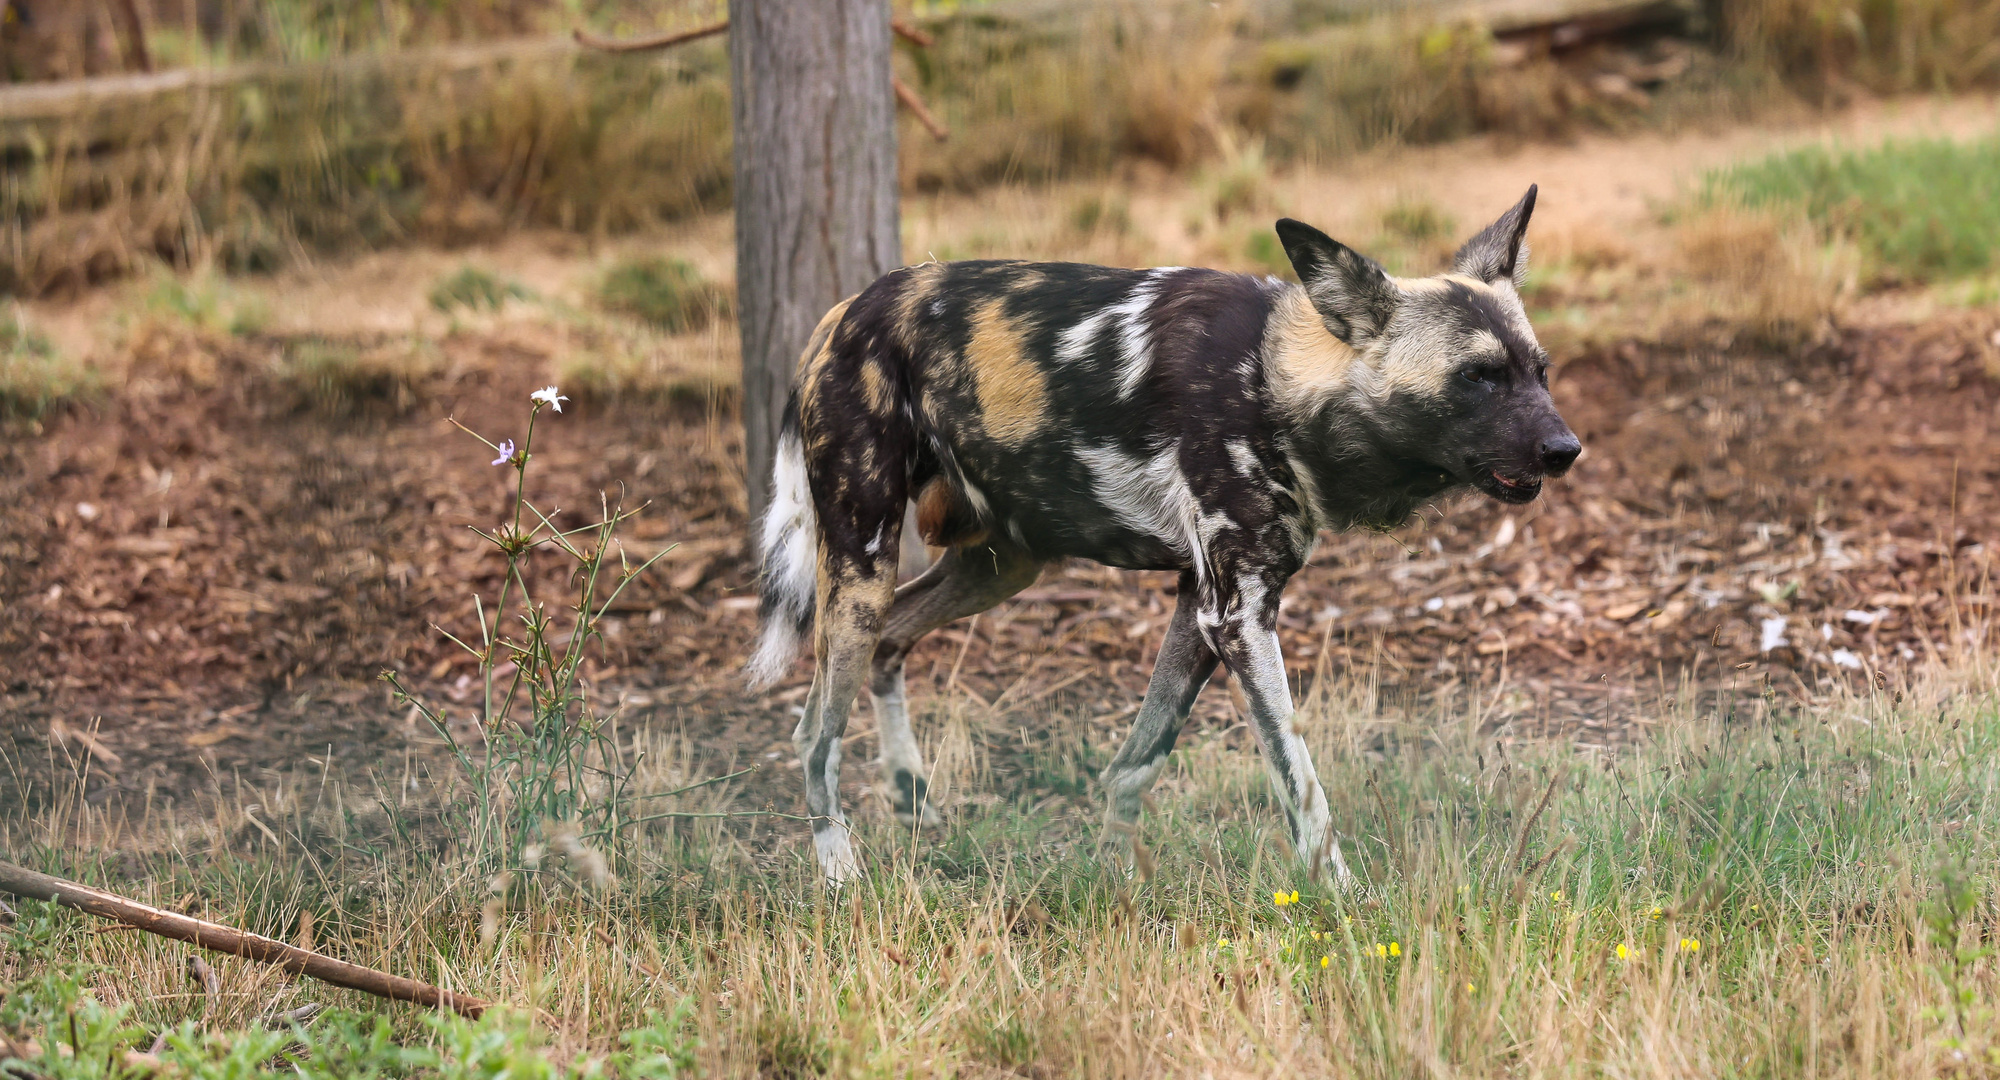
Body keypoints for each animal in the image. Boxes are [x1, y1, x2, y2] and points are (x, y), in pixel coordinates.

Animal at [748, 188, 1576, 884]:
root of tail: (846, 309)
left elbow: (1136, 761)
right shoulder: (1237, 617)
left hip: (996, 565)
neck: (1272, 380)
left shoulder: (1200, 606)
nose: (1567, 449)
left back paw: (913, 800)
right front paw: (1341, 893)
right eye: (1477, 377)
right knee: (812, 733)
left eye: (1539, 372)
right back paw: (840, 873)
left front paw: (1116, 877)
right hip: (864, 567)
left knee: (893, 643)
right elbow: (1300, 779)